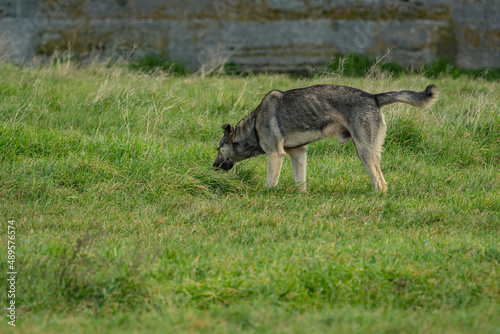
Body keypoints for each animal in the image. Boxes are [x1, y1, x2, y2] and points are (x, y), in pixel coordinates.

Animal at [213, 83, 440, 192]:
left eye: (218, 149)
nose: (212, 167)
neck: (253, 126)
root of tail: (373, 97)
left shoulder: (275, 155)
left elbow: (271, 182)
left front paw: (267, 195)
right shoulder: (298, 152)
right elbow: (300, 181)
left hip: (365, 151)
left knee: (381, 183)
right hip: (364, 152)